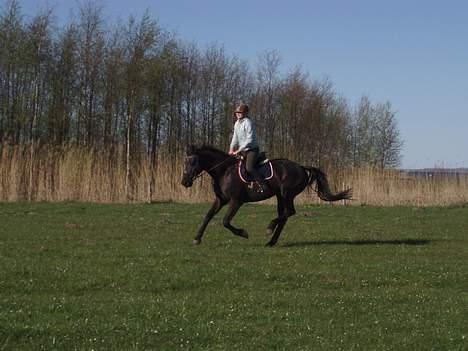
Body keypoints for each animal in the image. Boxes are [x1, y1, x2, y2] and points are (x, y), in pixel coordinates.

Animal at [181, 146, 350, 248]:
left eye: (193, 161)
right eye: (185, 162)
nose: (184, 182)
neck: (223, 172)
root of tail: (301, 167)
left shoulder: (236, 201)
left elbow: (225, 221)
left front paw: (243, 233)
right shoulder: (220, 200)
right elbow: (208, 216)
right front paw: (197, 238)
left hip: (286, 194)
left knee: (289, 212)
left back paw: (269, 228)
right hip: (280, 196)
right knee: (284, 215)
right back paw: (271, 241)